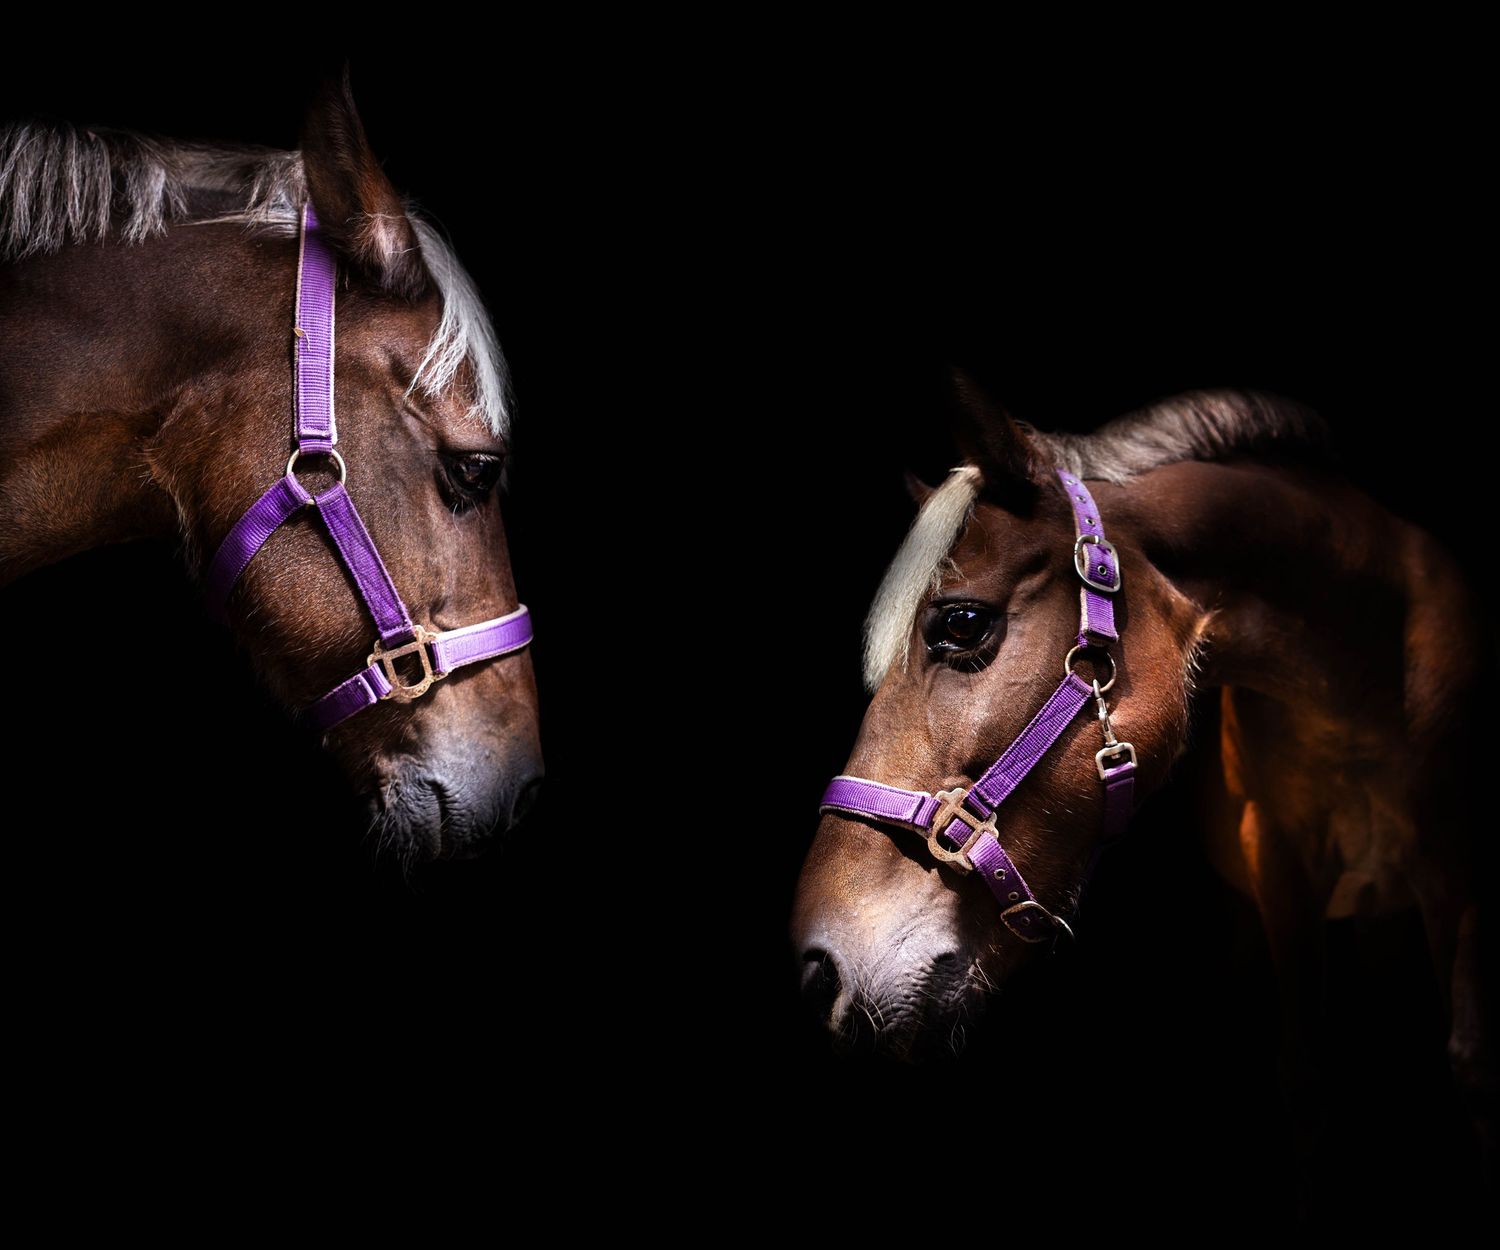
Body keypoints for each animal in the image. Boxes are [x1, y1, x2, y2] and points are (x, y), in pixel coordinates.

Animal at [792, 380, 1490, 1155]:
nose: (819, 974)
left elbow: (1467, 1061)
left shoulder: (1455, 867)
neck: (1362, 681)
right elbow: (1305, 1072)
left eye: (962, 623)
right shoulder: (1280, 868)